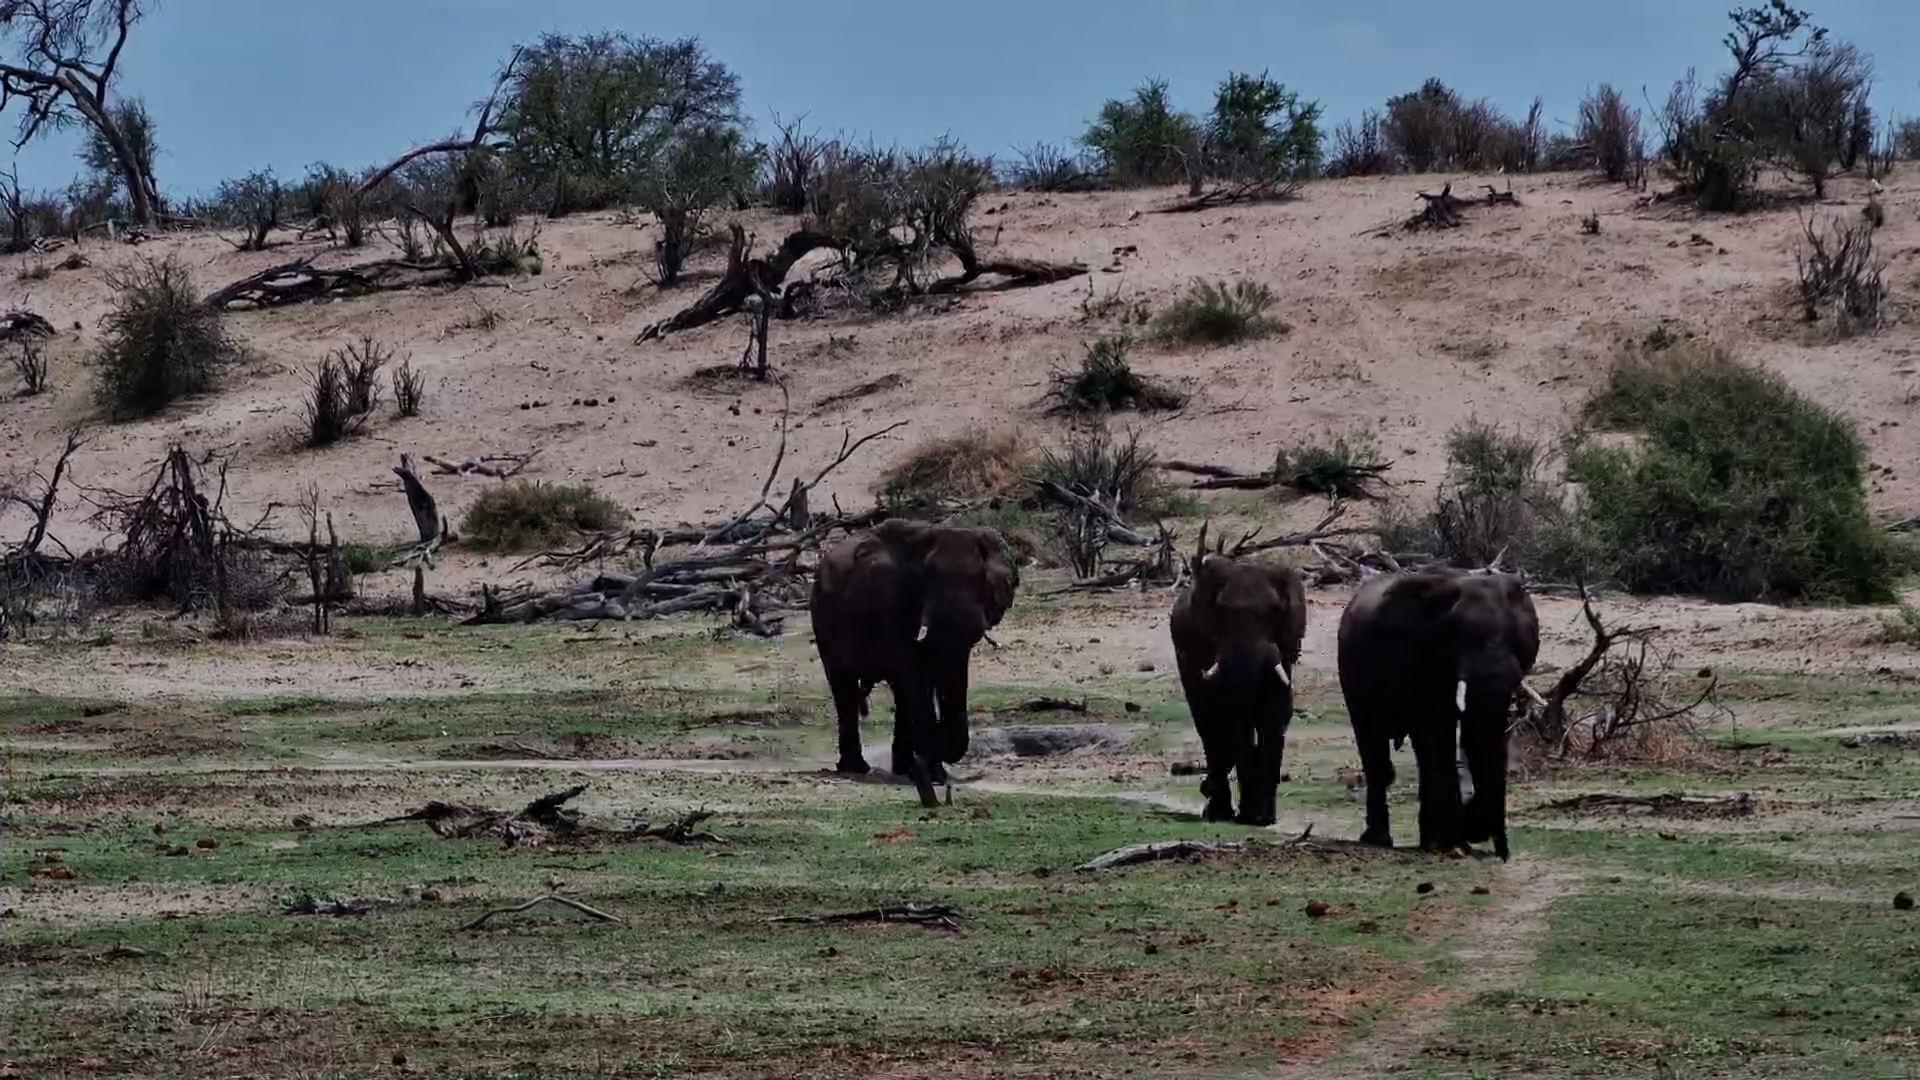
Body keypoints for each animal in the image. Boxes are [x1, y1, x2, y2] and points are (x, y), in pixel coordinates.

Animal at [810, 519, 1018, 807]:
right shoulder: (892, 598)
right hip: (823, 621)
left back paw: (901, 768)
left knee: (898, 694)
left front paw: (932, 773)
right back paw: (858, 768)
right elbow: (912, 672)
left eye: (981, 582)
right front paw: (929, 769)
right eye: (927, 580)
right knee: (845, 689)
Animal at [1170, 553, 1307, 826]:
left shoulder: (1285, 648)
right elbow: (1235, 716)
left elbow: (1276, 713)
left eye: (1275, 611)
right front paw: (1252, 815)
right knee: (1208, 725)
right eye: (1221, 611)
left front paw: (1263, 818)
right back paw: (1217, 809)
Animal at [1336, 571, 1540, 860]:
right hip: (1352, 674)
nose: (1503, 854)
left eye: (1519, 641)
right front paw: (1453, 845)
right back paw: (1380, 840)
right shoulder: (1420, 660)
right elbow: (1439, 731)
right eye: (1459, 637)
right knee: (1375, 745)